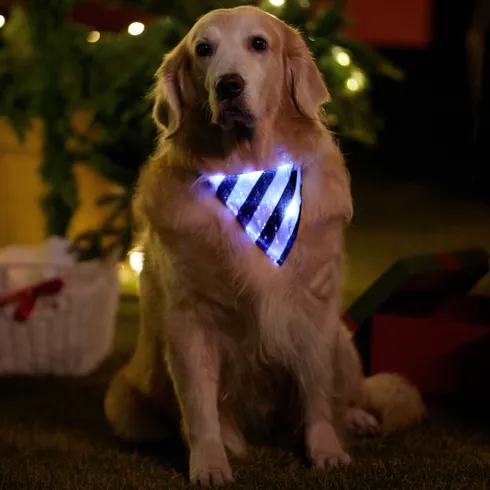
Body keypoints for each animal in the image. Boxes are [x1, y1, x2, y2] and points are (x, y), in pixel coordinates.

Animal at [106, 6, 424, 486]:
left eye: (259, 44)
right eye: (203, 49)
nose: (228, 85)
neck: (248, 172)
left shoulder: (312, 307)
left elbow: (317, 390)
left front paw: (326, 449)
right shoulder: (188, 318)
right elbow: (200, 405)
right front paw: (210, 461)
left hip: (344, 344)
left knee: (348, 392)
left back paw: (357, 418)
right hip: (126, 401)